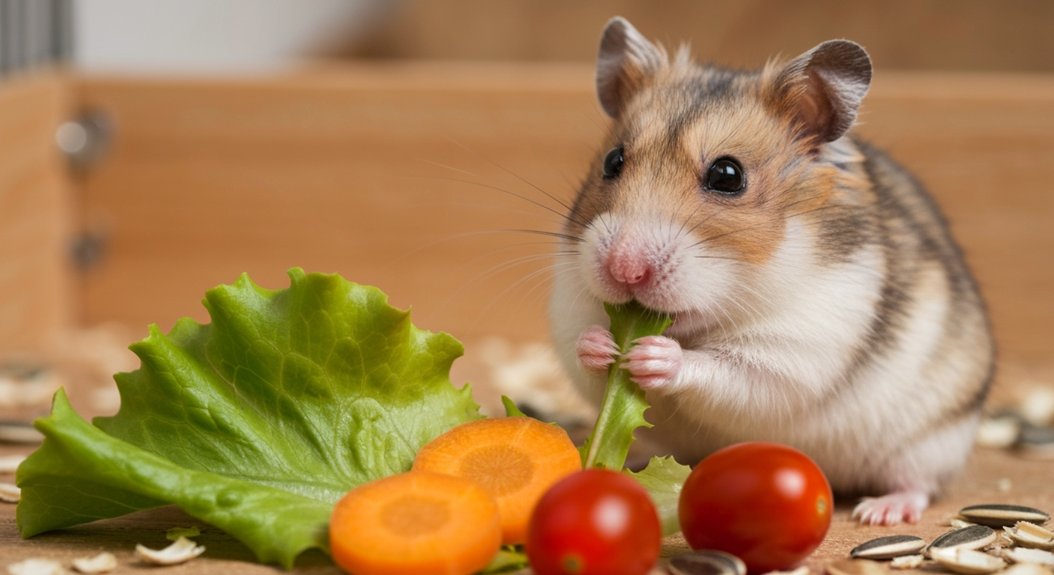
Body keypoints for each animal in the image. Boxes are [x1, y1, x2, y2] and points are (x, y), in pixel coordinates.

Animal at [549, 16, 995, 526]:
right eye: (613, 161)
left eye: (727, 175)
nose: (625, 269)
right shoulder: (570, 307)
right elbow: (582, 352)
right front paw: (600, 345)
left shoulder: (795, 352)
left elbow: (728, 372)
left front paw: (653, 356)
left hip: (932, 439)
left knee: (919, 483)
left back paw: (880, 512)